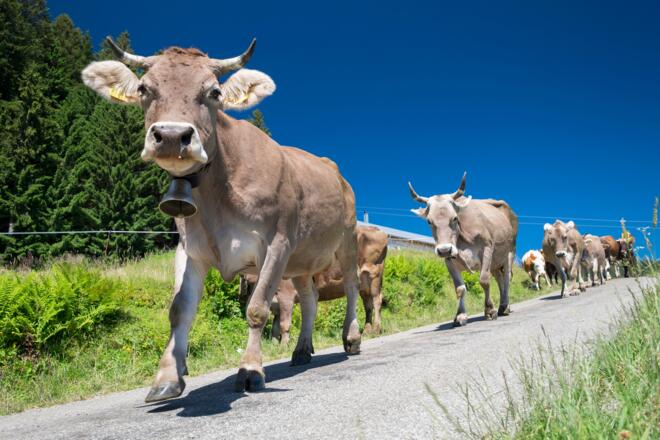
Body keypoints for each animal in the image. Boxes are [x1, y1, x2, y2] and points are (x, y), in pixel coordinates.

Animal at [82, 38, 362, 402]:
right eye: (144, 89)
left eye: (214, 92)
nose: (171, 136)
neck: (217, 198)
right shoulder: (190, 249)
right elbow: (179, 310)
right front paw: (166, 378)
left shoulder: (277, 243)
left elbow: (257, 308)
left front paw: (251, 371)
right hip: (302, 257)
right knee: (310, 298)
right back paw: (301, 350)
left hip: (347, 238)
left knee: (353, 285)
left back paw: (352, 337)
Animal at [242, 225, 389, 344]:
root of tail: (377, 229)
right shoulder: (276, 303)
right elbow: (275, 327)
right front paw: (275, 345)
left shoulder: (286, 295)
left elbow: (284, 324)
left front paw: (284, 345)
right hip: (364, 284)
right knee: (368, 305)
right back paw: (367, 330)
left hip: (374, 275)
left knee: (377, 301)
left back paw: (376, 328)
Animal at [409, 173, 518, 327]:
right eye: (429, 221)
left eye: (454, 218)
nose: (444, 249)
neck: (461, 241)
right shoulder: (449, 260)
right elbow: (460, 289)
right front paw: (460, 316)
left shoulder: (487, 248)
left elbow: (484, 280)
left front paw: (490, 310)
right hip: (496, 262)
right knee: (499, 278)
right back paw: (502, 306)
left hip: (509, 252)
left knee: (507, 277)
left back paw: (504, 306)